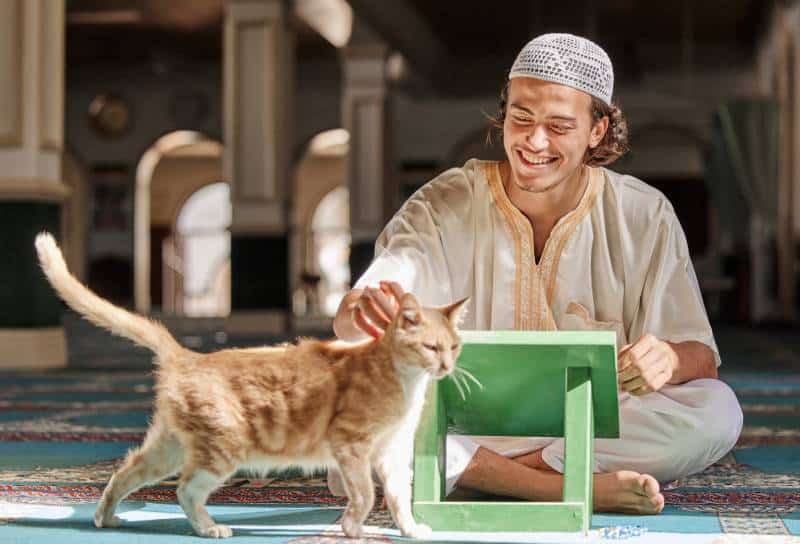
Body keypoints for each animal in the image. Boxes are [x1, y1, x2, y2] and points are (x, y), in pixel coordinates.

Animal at [34, 233, 466, 540]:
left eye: (454, 346)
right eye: (431, 347)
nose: (446, 365)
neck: (404, 380)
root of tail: (187, 356)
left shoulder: (392, 453)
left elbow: (399, 498)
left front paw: (411, 529)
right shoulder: (351, 444)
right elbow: (367, 494)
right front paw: (353, 528)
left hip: (169, 448)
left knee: (125, 473)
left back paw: (105, 517)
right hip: (223, 448)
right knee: (185, 490)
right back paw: (210, 528)